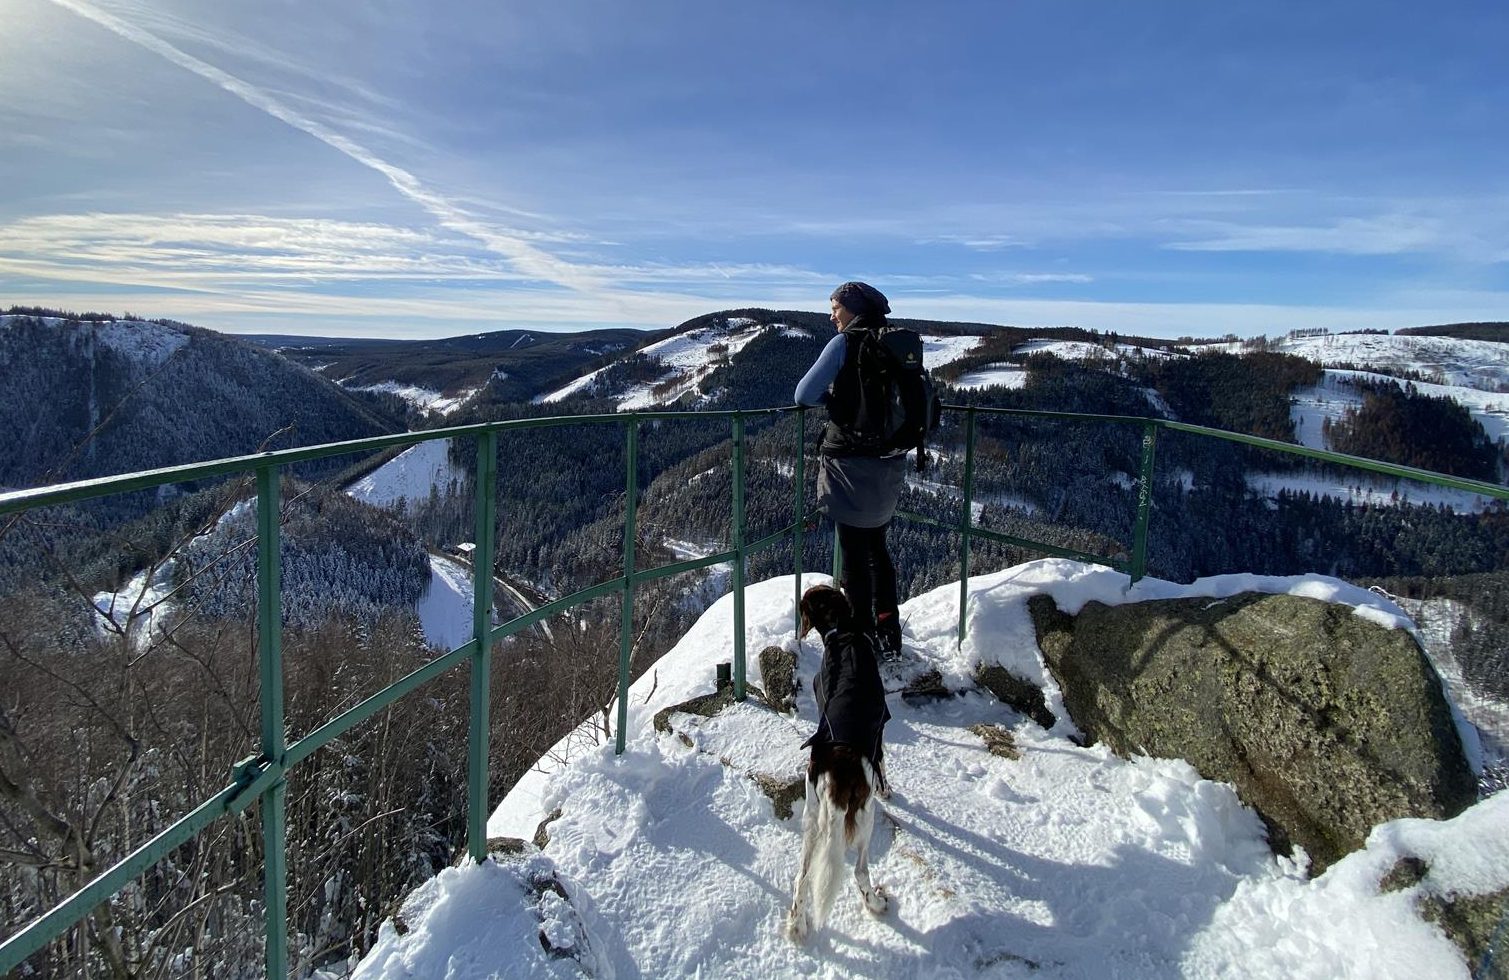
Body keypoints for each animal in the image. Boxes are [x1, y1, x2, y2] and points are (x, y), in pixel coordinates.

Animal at [784, 579, 887, 942]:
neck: (841, 633)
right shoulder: (880, 726)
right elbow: (885, 763)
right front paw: (889, 789)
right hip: (865, 817)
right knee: (859, 871)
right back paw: (877, 904)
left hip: (812, 818)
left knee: (802, 878)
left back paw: (796, 926)